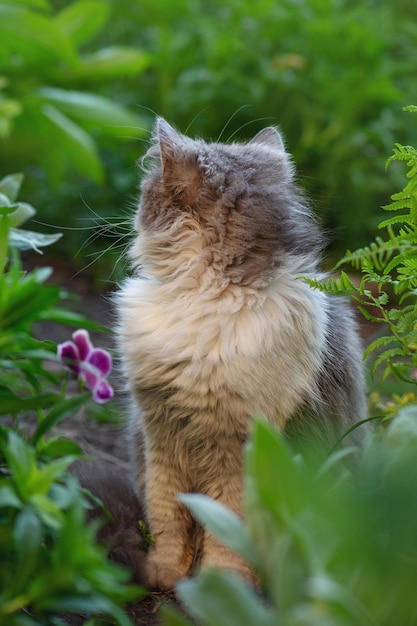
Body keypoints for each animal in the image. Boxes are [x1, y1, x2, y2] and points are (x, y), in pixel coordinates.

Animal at [115, 118, 366, 588]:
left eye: (145, 194)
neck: (206, 297)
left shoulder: (238, 453)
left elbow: (226, 535)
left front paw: (218, 586)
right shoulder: (161, 435)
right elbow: (168, 519)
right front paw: (165, 575)